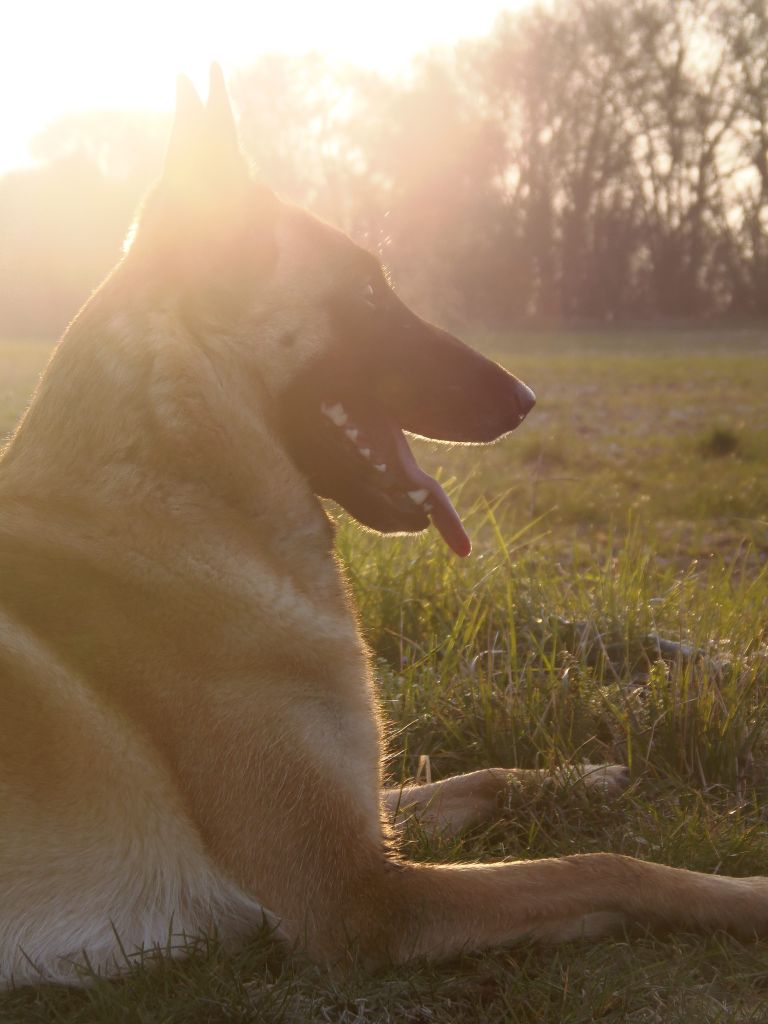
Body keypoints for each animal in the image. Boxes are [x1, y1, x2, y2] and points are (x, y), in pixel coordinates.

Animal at [1, 66, 768, 991]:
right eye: (368, 293)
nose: (525, 400)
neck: (174, 490)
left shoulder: (369, 825)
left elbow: (476, 776)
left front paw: (584, 775)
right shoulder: (361, 899)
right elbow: (603, 867)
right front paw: (750, 896)